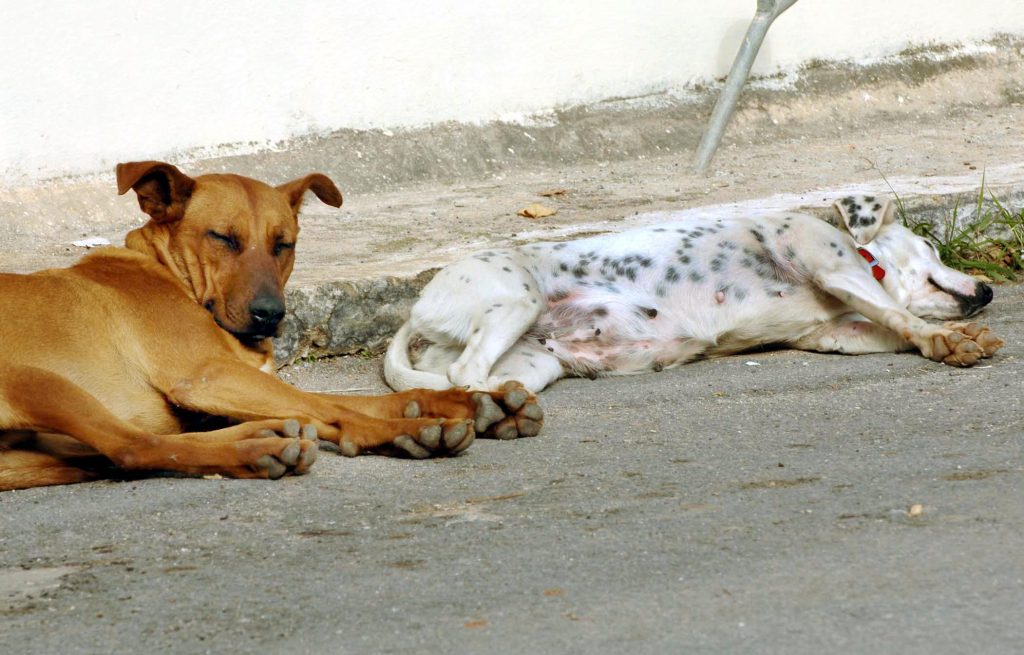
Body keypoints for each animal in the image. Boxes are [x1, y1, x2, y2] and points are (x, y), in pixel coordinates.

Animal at [0, 162, 544, 491]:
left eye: (284, 244)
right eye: (222, 238)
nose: (270, 315)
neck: (169, 274)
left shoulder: (237, 381)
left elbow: (345, 400)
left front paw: (472, 403)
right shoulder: (206, 376)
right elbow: (335, 405)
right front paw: (412, 426)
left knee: (113, 454)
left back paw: (266, 436)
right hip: (37, 379)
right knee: (133, 448)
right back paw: (265, 448)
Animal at [385, 195, 999, 393]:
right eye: (931, 245)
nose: (989, 289)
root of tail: (419, 311)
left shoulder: (835, 334)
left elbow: (892, 326)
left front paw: (951, 336)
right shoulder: (832, 266)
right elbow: (903, 316)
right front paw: (947, 340)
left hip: (535, 362)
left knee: (465, 379)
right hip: (517, 301)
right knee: (465, 374)